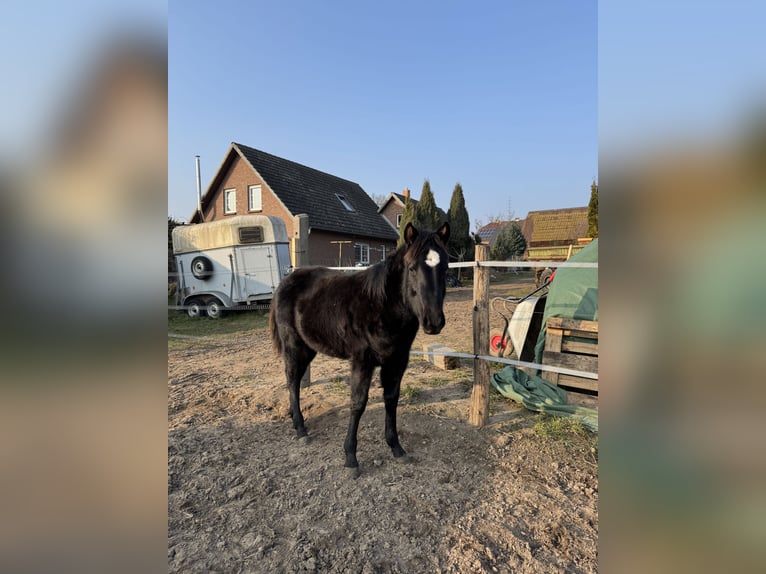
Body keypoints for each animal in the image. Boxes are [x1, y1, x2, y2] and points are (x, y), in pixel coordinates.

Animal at [269, 222, 450, 477]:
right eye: (412, 268)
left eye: (445, 267)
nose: (433, 322)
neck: (383, 306)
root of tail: (286, 282)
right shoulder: (362, 361)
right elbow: (358, 404)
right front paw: (350, 458)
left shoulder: (397, 361)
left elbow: (391, 399)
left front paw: (396, 447)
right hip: (294, 345)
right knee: (293, 381)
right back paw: (301, 429)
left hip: (309, 347)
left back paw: (297, 422)